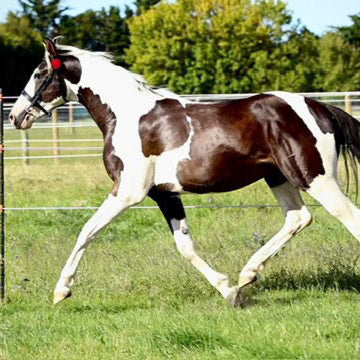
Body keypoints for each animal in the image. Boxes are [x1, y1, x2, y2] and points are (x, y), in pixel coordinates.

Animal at [8, 38, 360, 306]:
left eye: (39, 74)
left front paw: (61, 291)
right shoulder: (164, 194)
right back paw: (248, 273)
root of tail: (321, 108)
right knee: (298, 218)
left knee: (348, 217)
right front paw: (229, 290)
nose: (15, 116)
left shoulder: (128, 192)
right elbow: (185, 247)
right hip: (278, 176)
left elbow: (86, 231)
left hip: (315, 178)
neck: (126, 116)